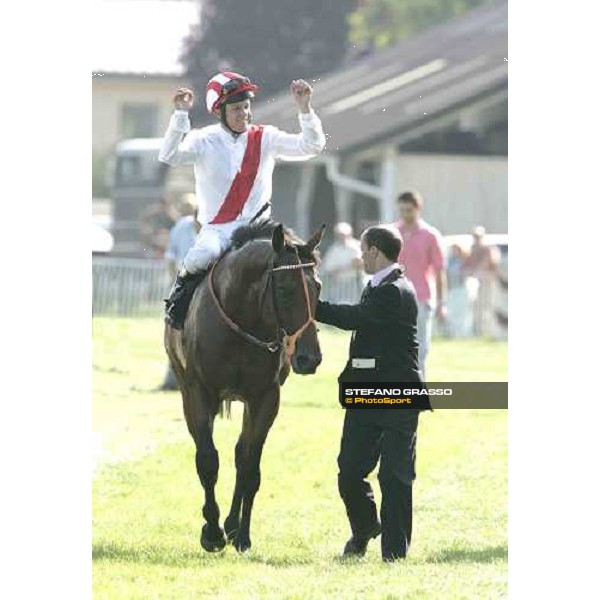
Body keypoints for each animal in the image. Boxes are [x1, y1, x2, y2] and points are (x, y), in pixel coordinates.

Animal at [164, 220, 324, 552]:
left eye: (317, 286)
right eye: (285, 289)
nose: (309, 358)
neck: (242, 323)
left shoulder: (266, 397)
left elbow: (250, 465)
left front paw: (242, 535)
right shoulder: (199, 392)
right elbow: (207, 460)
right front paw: (211, 532)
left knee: (241, 452)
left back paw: (232, 524)